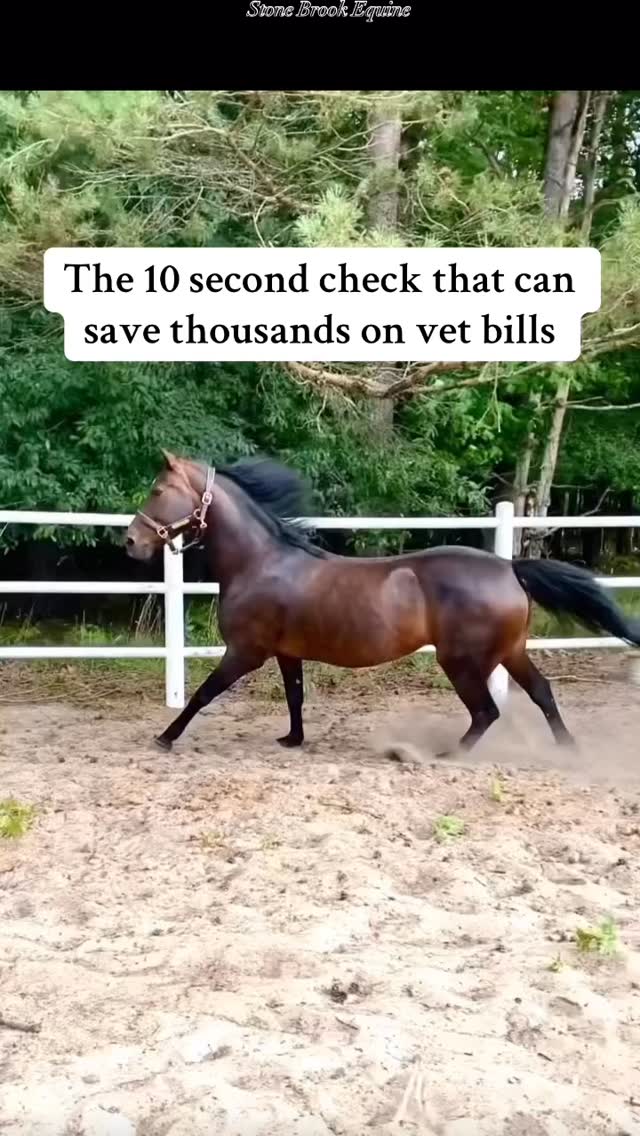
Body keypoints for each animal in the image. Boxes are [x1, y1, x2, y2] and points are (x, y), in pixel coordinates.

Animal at [125, 450, 640, 755]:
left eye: (157, 489)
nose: (130, 542)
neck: (261, 562)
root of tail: (510, 567)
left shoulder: (245, 652)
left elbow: (202, 693)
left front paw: (164, 738)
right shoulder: (286, 652)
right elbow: (295, 695)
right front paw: (292, 739)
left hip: (462, 660)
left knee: (486, 713)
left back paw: (446, 755)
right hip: (509, 652)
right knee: (542, 693)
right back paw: (568, 750)